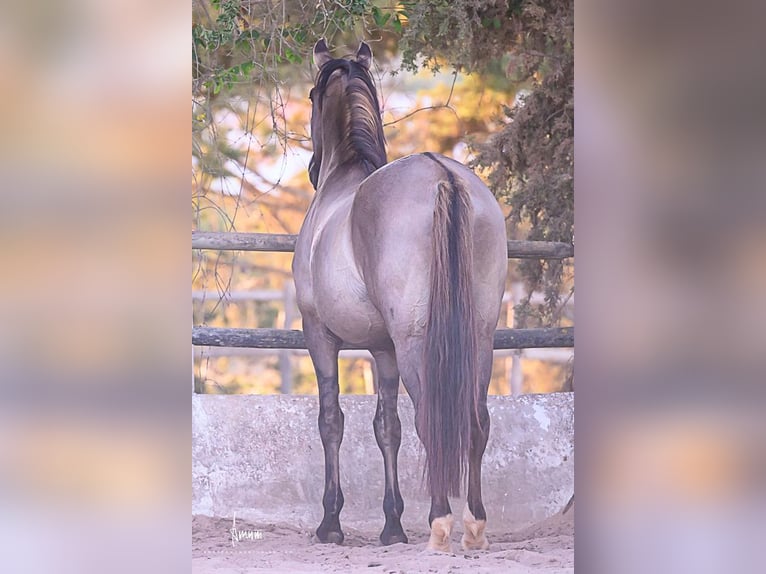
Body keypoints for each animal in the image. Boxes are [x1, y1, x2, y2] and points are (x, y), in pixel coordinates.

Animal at [292, 39, 508, 552]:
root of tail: (443, 176)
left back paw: (441, 522)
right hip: (480, 337)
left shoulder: (319, 334)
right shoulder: (382, 347)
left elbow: (332, 421)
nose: (311, 169)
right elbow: (386, 427)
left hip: (415, 341)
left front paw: (330, 523)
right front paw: (392, 526)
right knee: (477, 420)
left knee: (432, 418)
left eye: (311, 95)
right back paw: (474, 524)